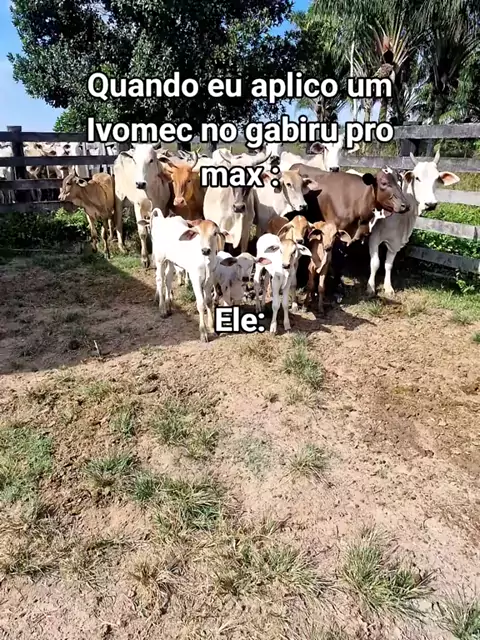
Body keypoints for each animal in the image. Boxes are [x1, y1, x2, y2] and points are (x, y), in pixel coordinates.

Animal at [367, 152, 460, 297]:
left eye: (437, 179)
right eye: (417, 178)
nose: (431, 204)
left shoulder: (395, 243)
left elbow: (388, 264)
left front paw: (388, 287)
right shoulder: (374, 238)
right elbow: (375, 263)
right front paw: (370, 287)